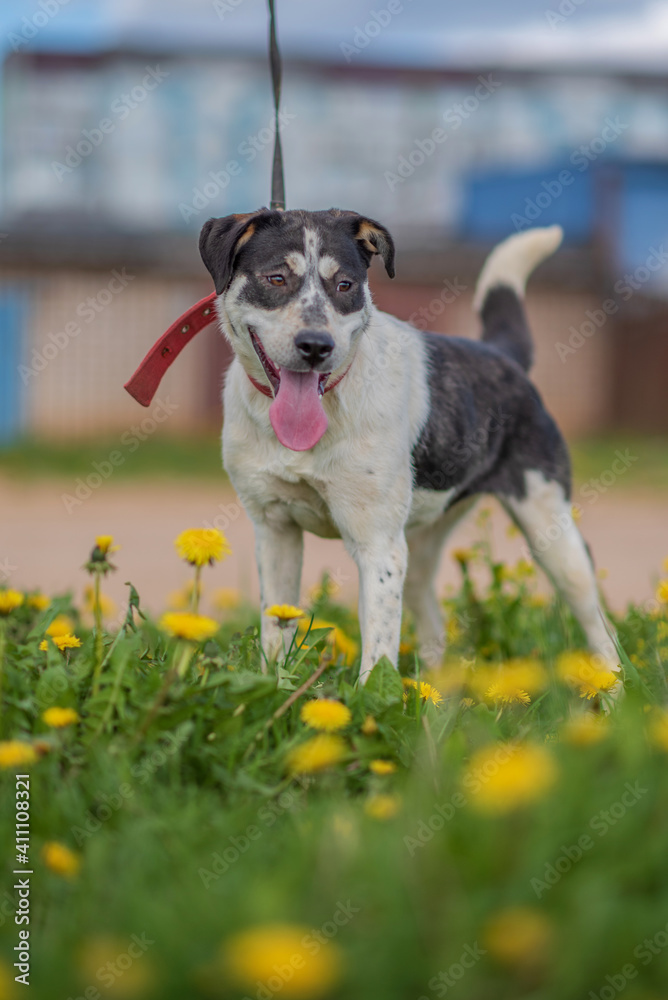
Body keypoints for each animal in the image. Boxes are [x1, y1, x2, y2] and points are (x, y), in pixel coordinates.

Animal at [198, 207, 616, 684]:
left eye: (345, 285)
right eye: (276, 278)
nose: (316, 346)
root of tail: (504, 358)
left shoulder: (379, 545)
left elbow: (378, 650)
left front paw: (369, 698)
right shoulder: (274, 530)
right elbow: (275, 625)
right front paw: (273, 684)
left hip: (554, 536)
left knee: (600, 626)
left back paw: (614, 688)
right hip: (423, 542)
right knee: (432, 623)